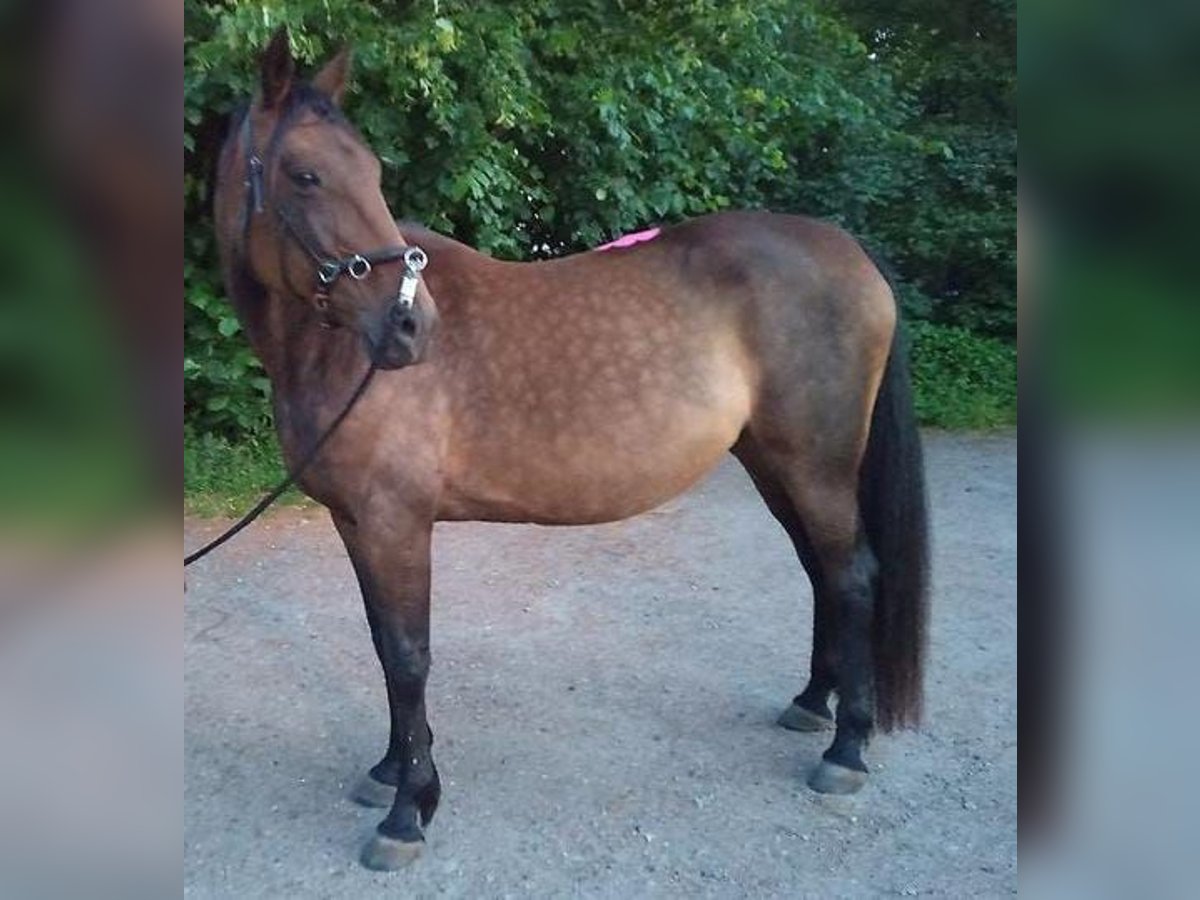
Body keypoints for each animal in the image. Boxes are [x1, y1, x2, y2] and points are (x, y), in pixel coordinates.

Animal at [211, 28, 931, 873]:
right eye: (306, 174)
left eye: (372, 173)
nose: (411, 328)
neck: (335, 355)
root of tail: (851, 254)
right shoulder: (354, 522)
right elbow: (385, 647)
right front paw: (391, 769)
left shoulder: (396, 523)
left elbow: (410, 655)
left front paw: (407, 811)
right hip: (773, 465)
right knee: (824, 576)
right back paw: (812, 705)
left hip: (818, 467)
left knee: (852, 577)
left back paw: (846, 750)